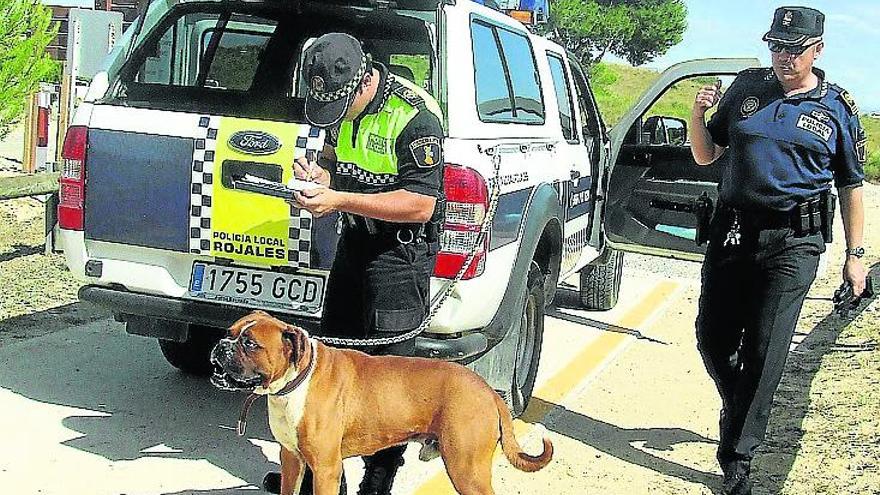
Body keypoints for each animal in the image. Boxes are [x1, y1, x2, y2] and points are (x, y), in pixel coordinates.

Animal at [209, 310, 552, 495]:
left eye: (250, 344)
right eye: (229, 332)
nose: (221, 345)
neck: (296, 381)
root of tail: (487, 390)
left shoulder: (326, 469)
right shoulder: (292, 459)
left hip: (466, 468)